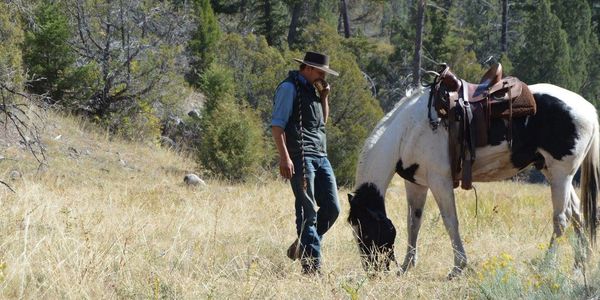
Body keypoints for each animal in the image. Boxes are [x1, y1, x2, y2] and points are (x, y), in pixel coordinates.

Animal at [346, 67, 600, 278]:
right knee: (577, 214)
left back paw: (546, 266)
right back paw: (579, 266)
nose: (373, 271)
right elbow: (413, 223)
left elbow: (450, 222)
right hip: (553, 173)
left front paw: (458, 267)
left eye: (364, 229)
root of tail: (588, 109)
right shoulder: (416, 183)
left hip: (561, 174)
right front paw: (408, 266)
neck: (407, 131)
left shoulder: (440, 181)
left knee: (561, 219)